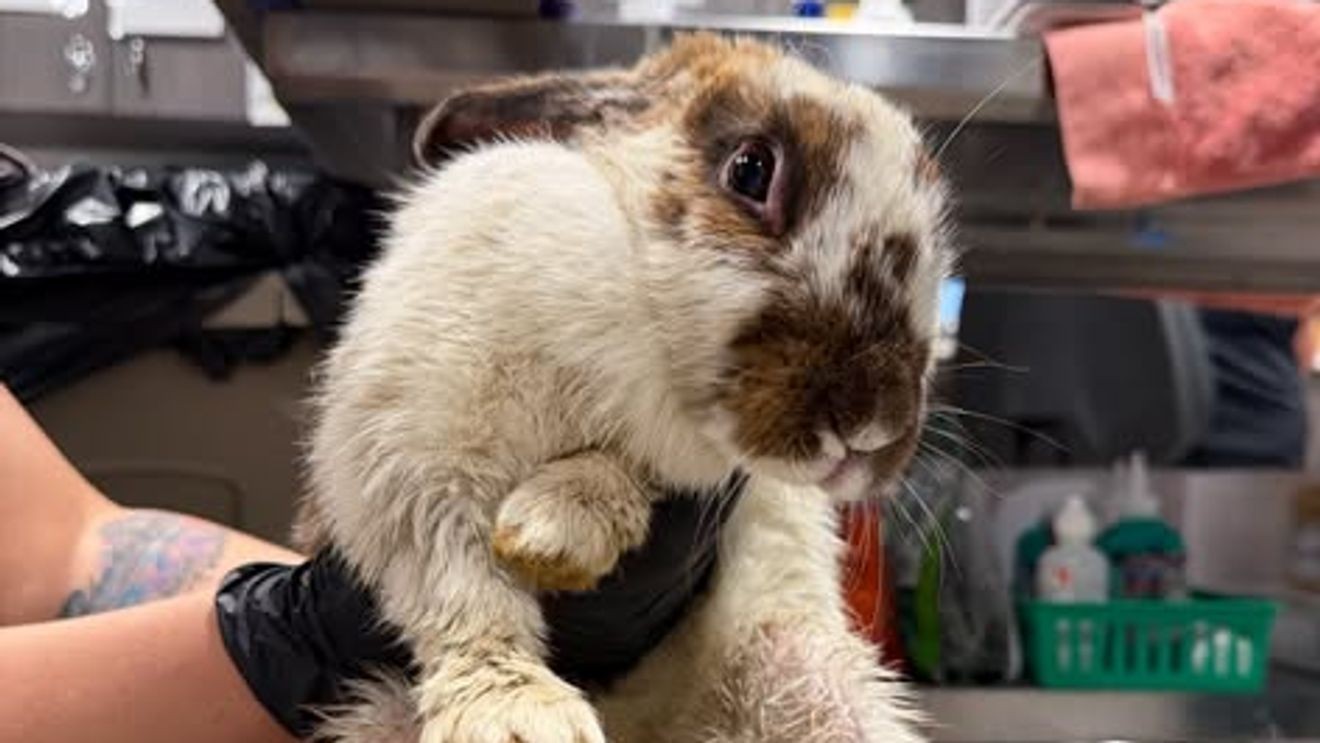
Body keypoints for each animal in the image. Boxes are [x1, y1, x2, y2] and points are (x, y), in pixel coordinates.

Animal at [299, 32, 952, 743]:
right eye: (750, 171)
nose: (877, 428)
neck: (633, 327)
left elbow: (618, 474)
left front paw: (551, 531)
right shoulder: (409, 455)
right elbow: (460, 584)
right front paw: (520, 717)